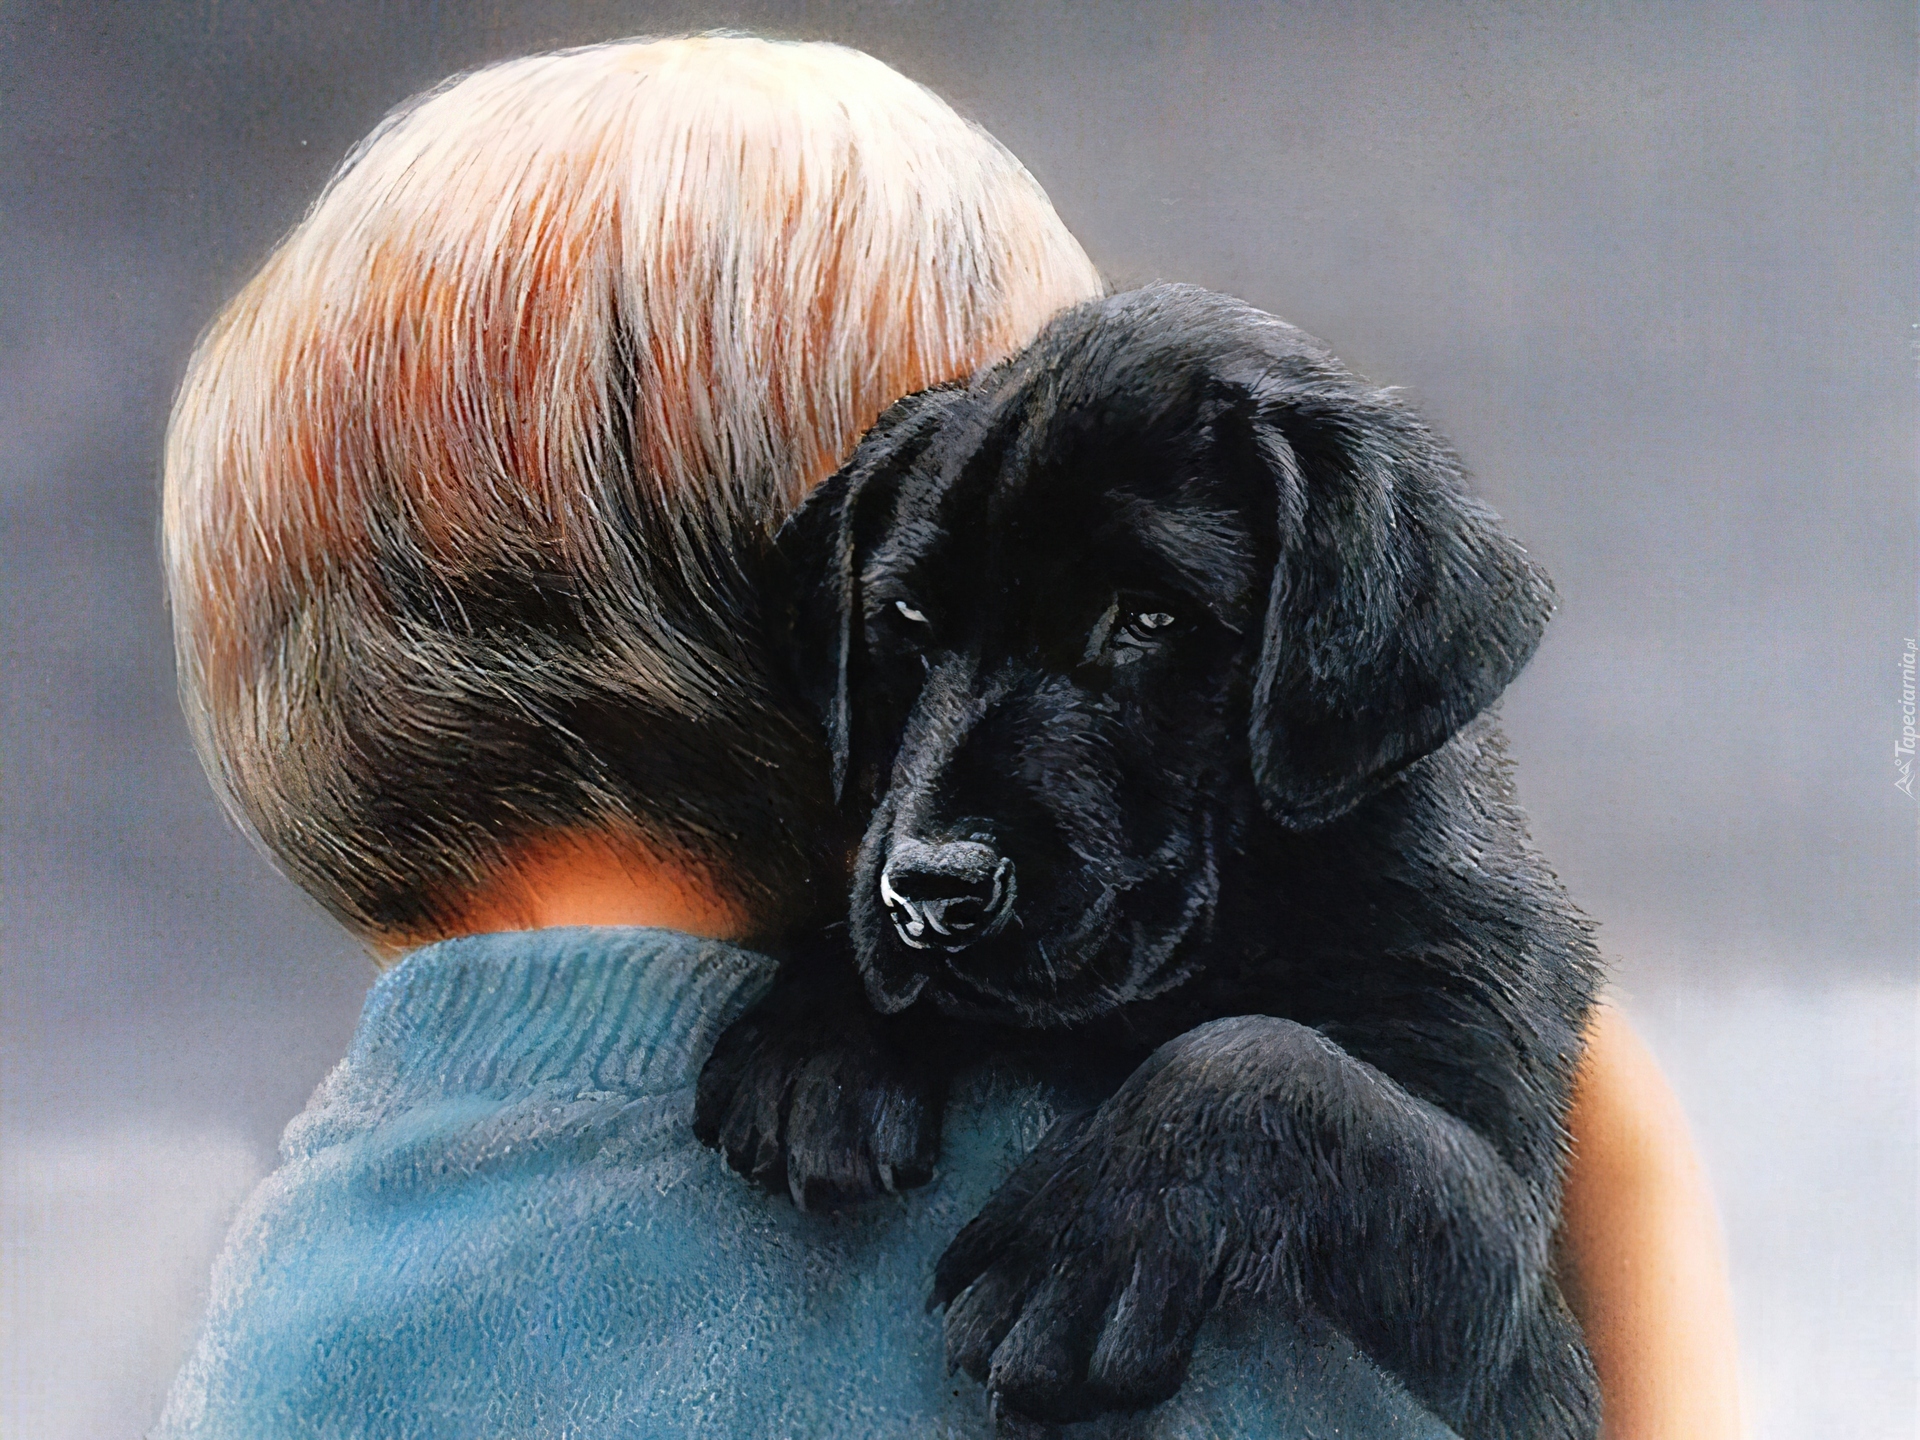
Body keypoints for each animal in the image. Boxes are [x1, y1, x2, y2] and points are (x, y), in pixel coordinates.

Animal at [698, 284, 1597, 1440]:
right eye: (908, 620)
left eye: (1151, 619)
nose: (934, 895)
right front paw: (817, 1040)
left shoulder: (1498, 1270)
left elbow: (1260, 1058)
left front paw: (1074, 1260)